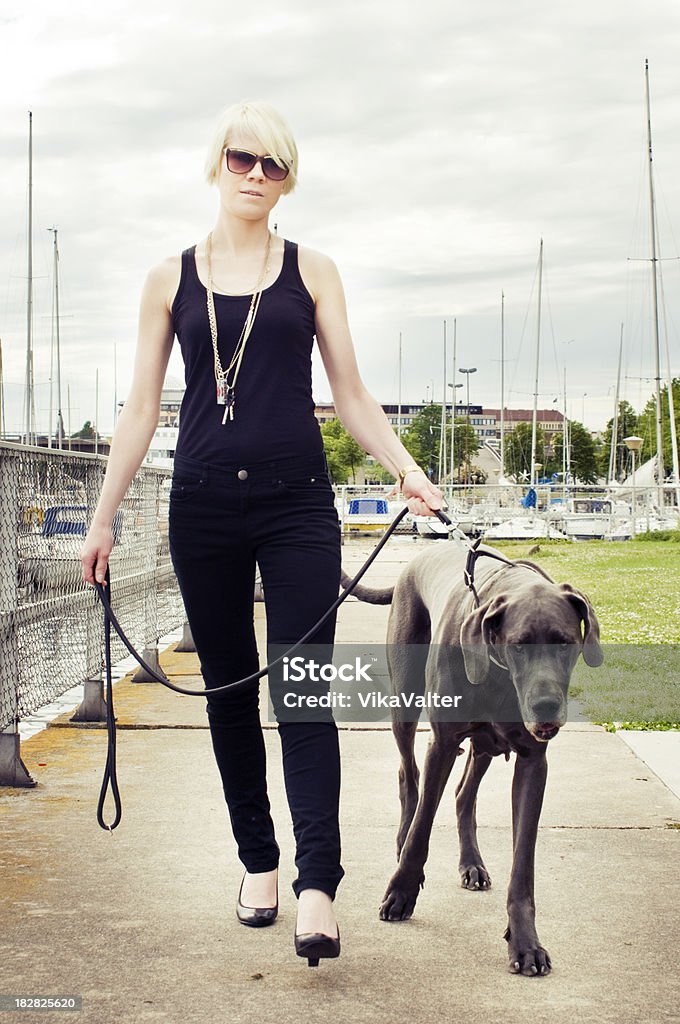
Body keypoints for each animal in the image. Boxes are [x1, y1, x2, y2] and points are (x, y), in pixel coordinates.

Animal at [346, 540, 602, 970]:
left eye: (565, 642)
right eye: (519, 644)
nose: (547, 707)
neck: (498, 673)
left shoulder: (533, 762)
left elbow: (523, 864)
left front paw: (525, 940)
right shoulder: (443, 744)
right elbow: (422, 829)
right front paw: (401, 892)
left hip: (485, 745)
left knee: (464, 795)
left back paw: (472, 865)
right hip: (405, 700)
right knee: (408, 777)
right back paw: (402, 838)